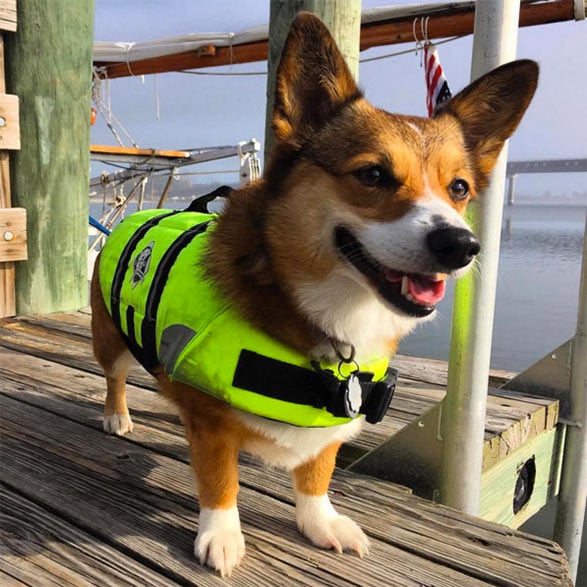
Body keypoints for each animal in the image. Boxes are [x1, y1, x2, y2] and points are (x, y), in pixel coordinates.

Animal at [90, 11, 536, 576]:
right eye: (372, 174)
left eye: (458, 189)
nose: (461, 245)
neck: (329, 312)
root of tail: (138, 213)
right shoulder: (212, 428)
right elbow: (220, 480)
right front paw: (222, 535)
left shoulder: (336, 412)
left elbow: (317, 472)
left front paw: (319, 522)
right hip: (111, 341)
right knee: (115, 377)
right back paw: (117, 415)